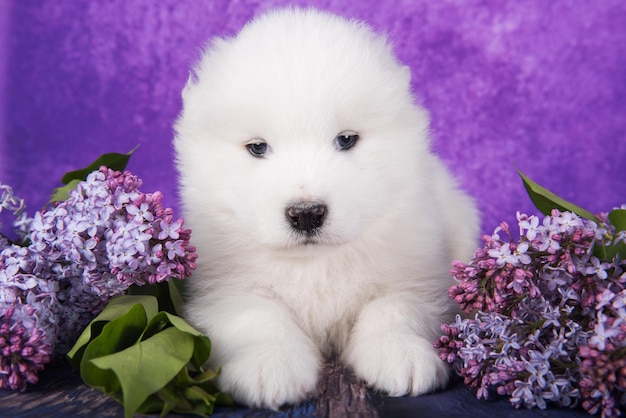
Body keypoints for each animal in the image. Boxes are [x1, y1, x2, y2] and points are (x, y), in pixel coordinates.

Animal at [173, 8, 476, 410]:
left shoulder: (419, 275)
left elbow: (394, 308)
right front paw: (270, 366)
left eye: (346, 140)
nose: (306, 213)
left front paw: (401, 355)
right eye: (258, 147)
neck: (315, 263)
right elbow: (258, 316)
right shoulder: (220, 289)